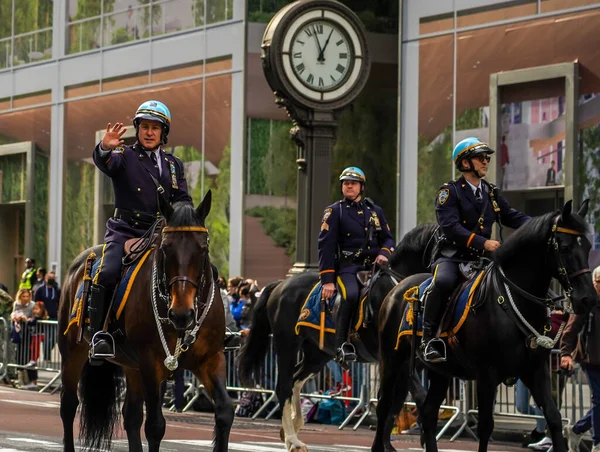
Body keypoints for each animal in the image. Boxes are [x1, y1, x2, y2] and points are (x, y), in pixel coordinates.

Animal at [58, 191, 232, 452]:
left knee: (130, 415)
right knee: (69, 406)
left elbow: (224, 411)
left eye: (203, 248)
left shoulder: (211, 359)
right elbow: (155, 426)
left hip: (132, 365)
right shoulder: (152, 363)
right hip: (72, 352)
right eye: (166, 248)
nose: (182, 314)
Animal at [237, 222, 438, 452]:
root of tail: (280, 284)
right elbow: (409, 398)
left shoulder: (405, 364)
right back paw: (293, 440)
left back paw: (293, 427)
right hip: (286, 344)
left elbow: (396, 402)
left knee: (296, 380)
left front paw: (390, 443)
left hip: (318, 353)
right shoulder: (395, 360)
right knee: (284, 386)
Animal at [372, 201, 596, 452]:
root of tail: (396, 289)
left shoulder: (535, 370)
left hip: (440, 371)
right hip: (392, 361)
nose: (587, 299)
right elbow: (486, 426)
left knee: (428, 412)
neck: (512, 300)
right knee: (384, 406)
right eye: (565, 247)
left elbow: (554, 417)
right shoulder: (487, 374)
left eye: (588, 246)